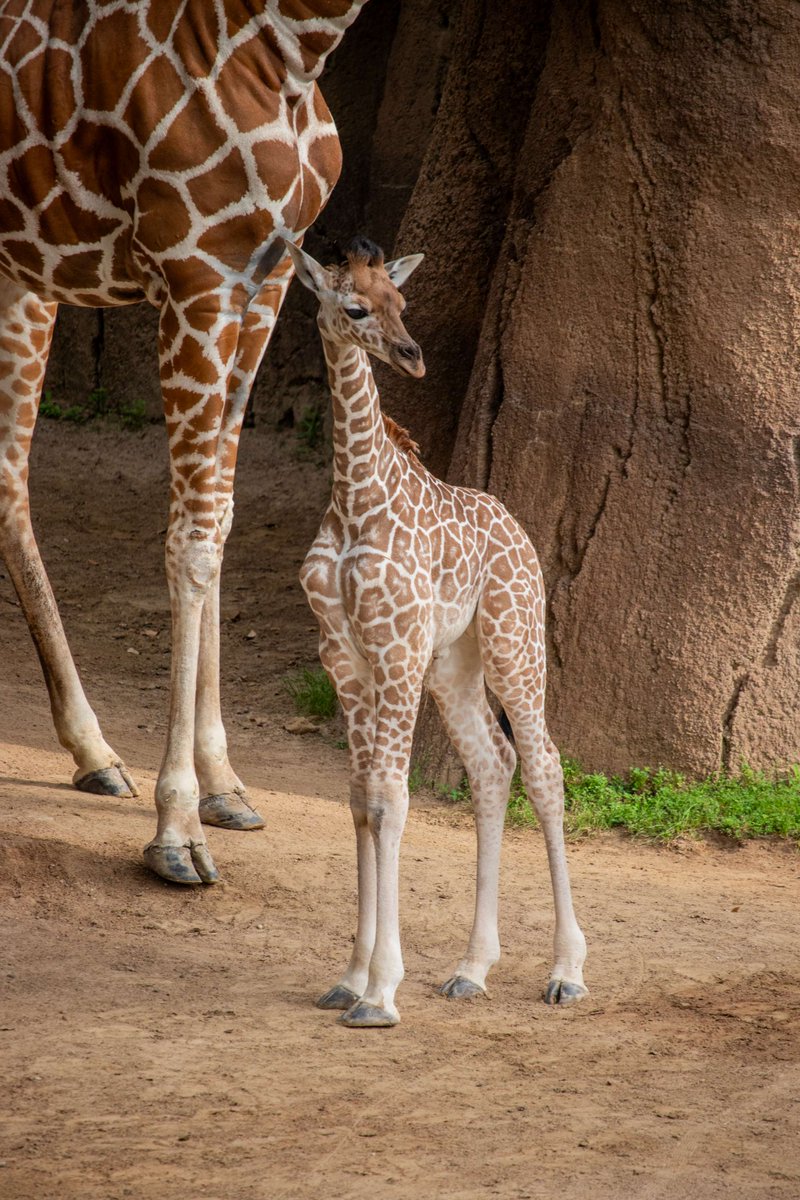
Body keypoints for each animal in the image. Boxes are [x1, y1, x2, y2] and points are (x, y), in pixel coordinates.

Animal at [0, 0, 367, 883]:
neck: (295, 45)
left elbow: (221, 522)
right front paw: (178, 829)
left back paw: (94, 751)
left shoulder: (266, 278)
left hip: (22, 274)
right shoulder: (196, 273)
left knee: (6, 474)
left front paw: (223, 783)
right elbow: (190, 541)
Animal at [287, 236, 587, 1032]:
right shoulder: (345, 660)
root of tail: (519, 531)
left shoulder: (394, 654)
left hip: (515, 644)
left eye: (402, 301)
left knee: (544, 765)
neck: (356, 500)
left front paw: (380, 992)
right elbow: (361, 800)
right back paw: (472, 969)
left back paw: (567, 972)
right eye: (355, 307)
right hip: (454, 664)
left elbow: (392, 802)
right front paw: (350, 978)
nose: (413, 355)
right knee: (492, 764)